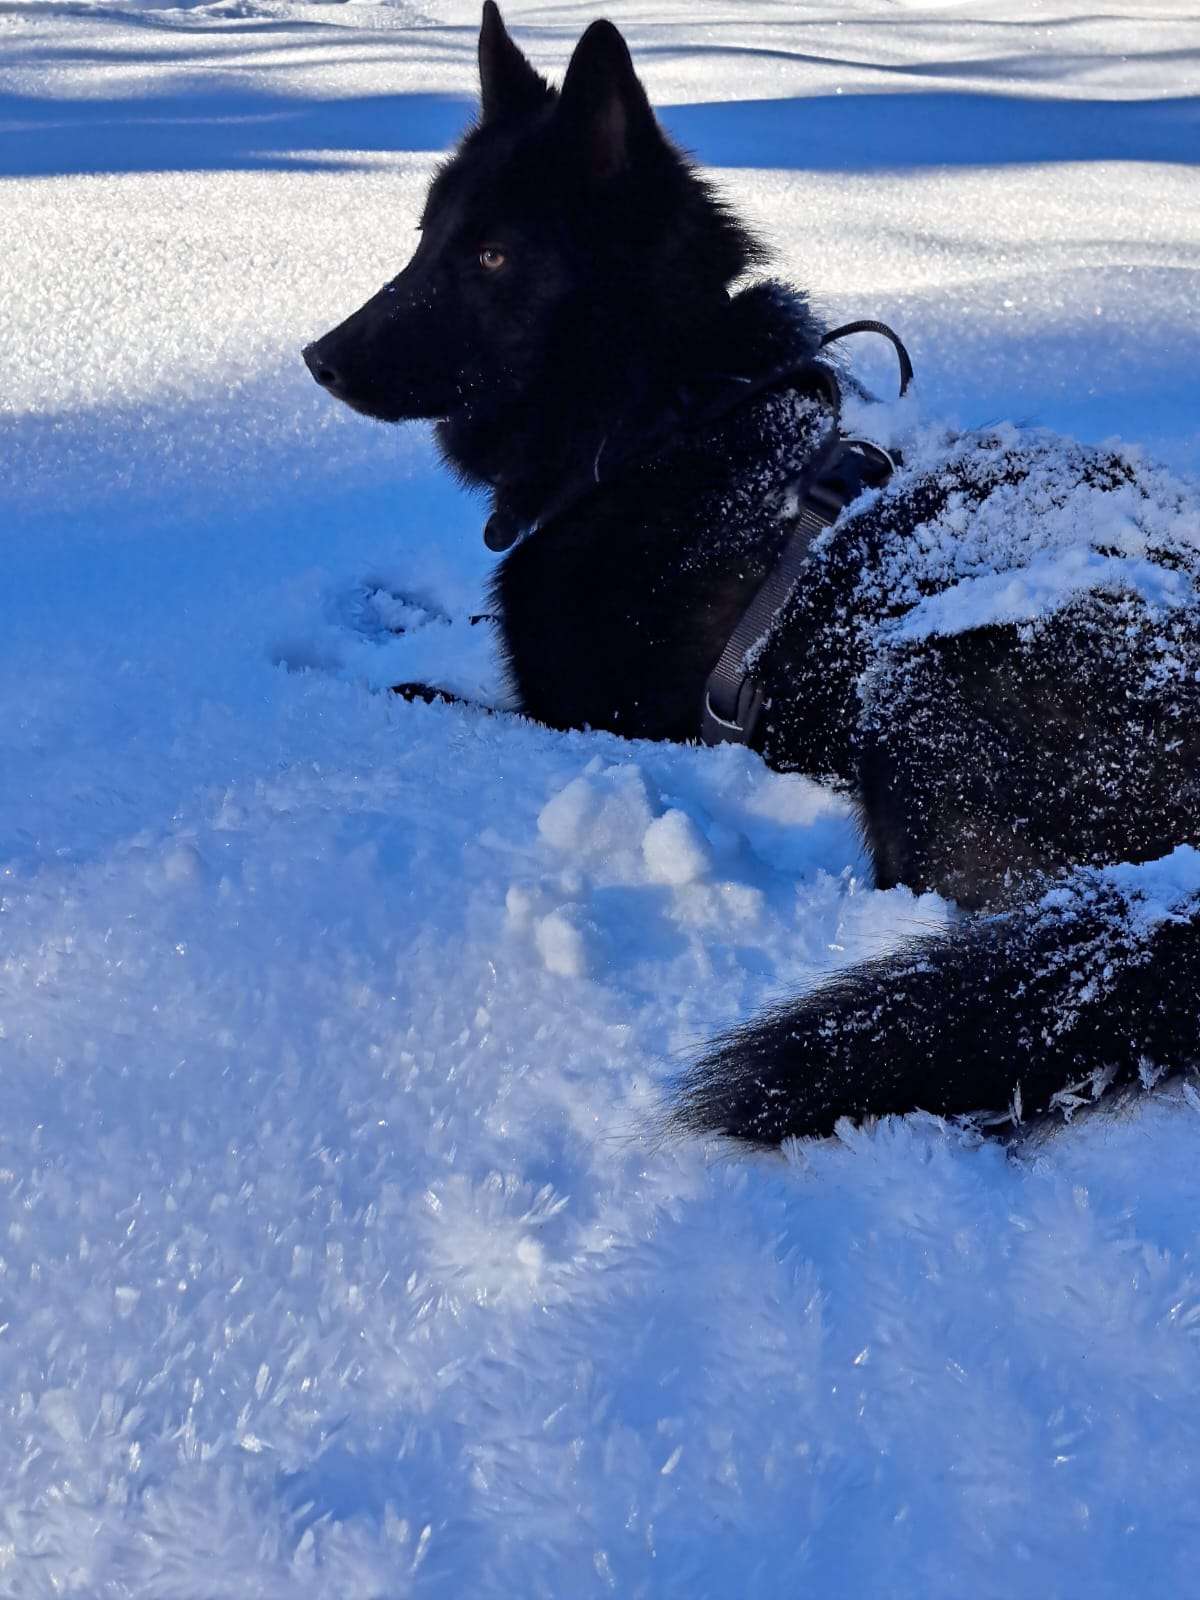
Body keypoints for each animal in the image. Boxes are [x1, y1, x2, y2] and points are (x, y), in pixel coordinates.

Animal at [304, 4, 1200, 1143]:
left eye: (495, 255)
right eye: (425, 238)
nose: (318, 358)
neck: (656, 417)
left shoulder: (592, 720)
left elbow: (428, 692)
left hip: (916, 694)